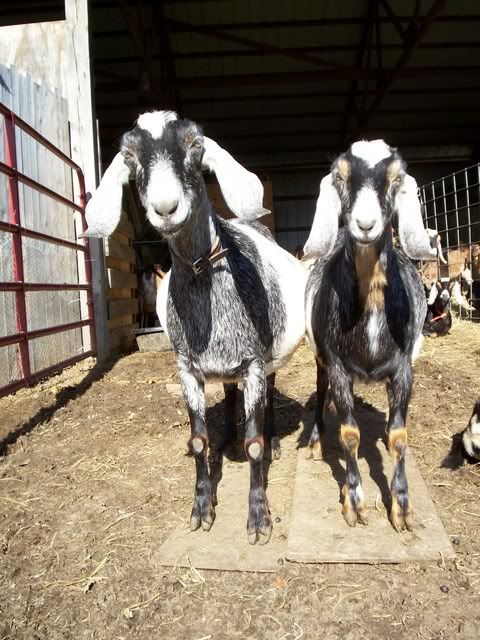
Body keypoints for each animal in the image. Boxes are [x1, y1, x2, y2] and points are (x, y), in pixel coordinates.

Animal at [81, 110, 306, 544]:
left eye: (195, 144)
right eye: (129, 154)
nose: (165, 207)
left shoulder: (254, 361)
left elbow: (254, 445)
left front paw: (259, 518)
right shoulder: (186, 367)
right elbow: (199, 441)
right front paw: (202, 508)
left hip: (268, 359)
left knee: (269, 396)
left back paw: (273, 441)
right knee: (232, 394)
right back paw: (228, 437)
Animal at [303, 139, 439, 532]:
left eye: (396, 179)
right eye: (340, 177)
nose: (365, 225)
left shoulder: (404, 369)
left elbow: (399, 436)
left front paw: (402, 508)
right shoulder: (337, 366)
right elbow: (350, 435)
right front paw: (354, 502)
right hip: (321, 360)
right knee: (320, 395)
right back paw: (315, 443)